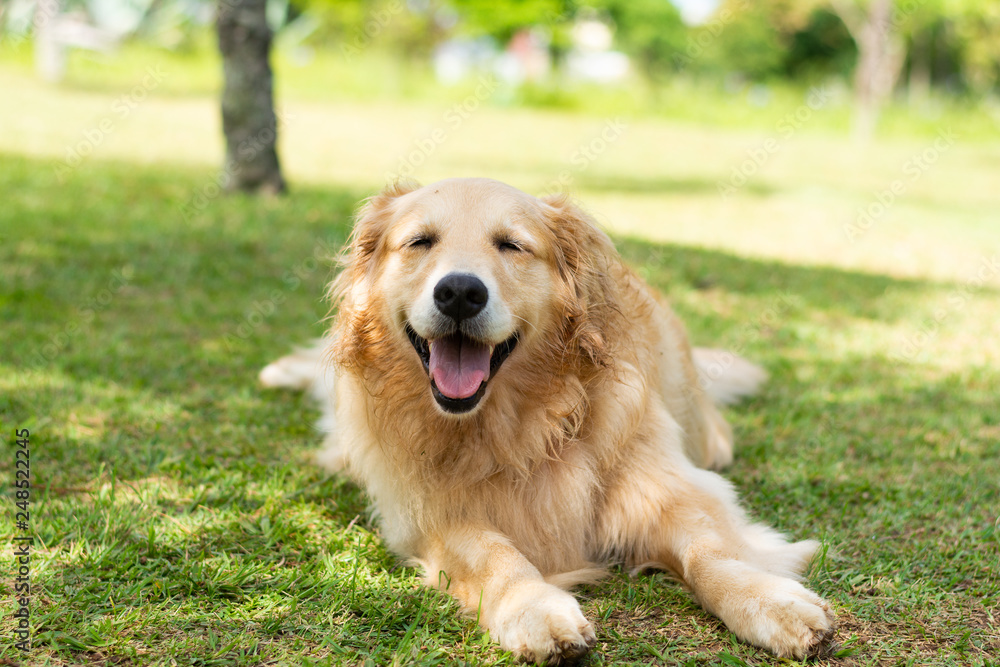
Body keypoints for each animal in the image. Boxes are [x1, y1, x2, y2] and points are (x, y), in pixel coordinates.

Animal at [260, 177, 836, 664]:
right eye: (420, 242)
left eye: (512, 245)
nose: (460, 292)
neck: (525, 422)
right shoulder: (427, 511)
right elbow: (495, 554)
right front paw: (533, 606)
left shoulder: (664, 486)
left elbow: (709, 551)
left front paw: (769, 601)